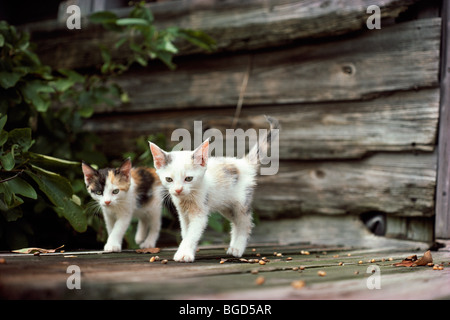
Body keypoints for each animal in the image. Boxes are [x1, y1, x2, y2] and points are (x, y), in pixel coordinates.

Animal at [149, 116, 280, 262]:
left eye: (188, 178)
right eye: (169, 179)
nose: (178, 190)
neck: (188, 198)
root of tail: (243, 163)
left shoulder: (200, 213)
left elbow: (192, 233)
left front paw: (184, 254)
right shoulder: (183, 213)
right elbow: (186, 232)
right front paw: (187, 249)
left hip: (241, 203)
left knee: (245, 224)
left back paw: (237, 249)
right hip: (226, 206)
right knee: (235, 224)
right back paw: (233, 247)